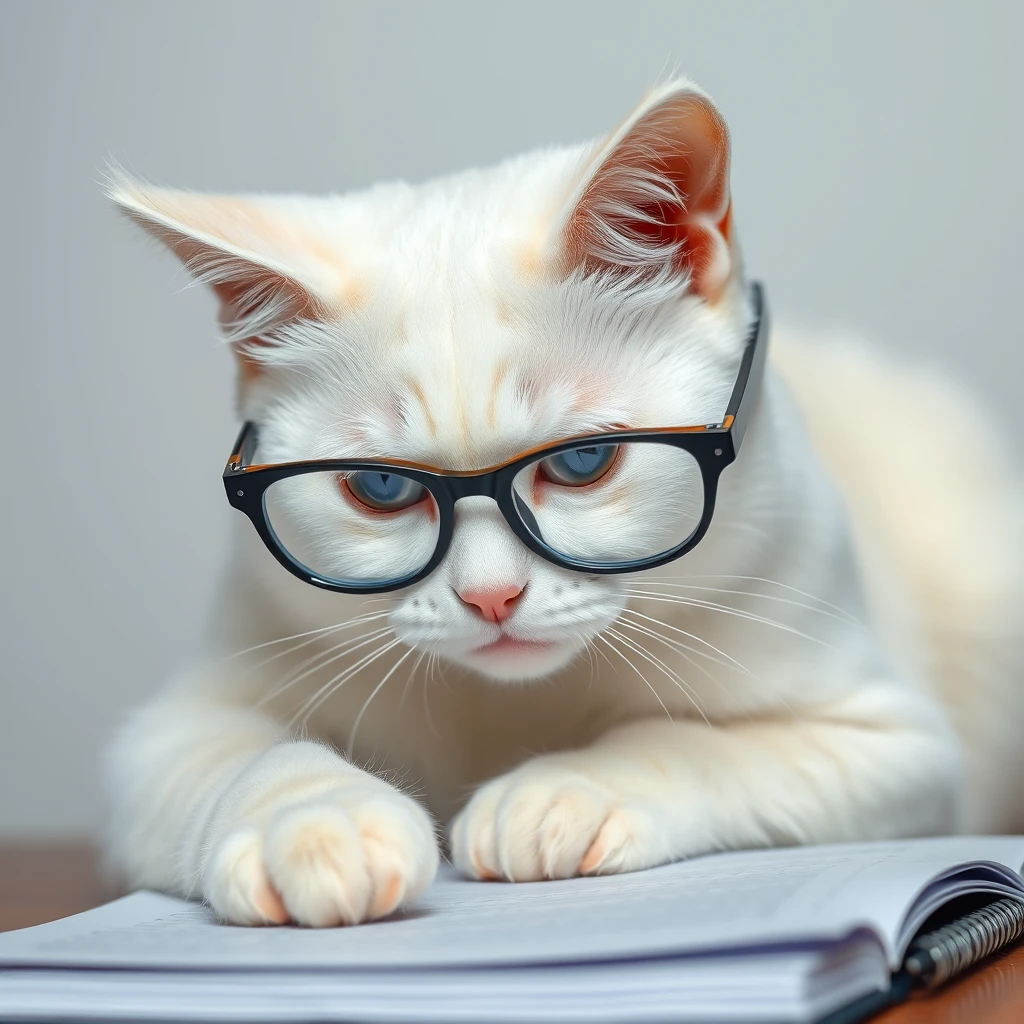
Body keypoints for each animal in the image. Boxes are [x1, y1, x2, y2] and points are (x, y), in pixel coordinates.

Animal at [105, 81, 1024, 929]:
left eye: (582, 462)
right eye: (381, 488)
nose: (490, 598)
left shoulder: (893, 745)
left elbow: (691, 742)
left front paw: (568, 789)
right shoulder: (170, 736)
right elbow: (258, 759)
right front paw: (316, 823)